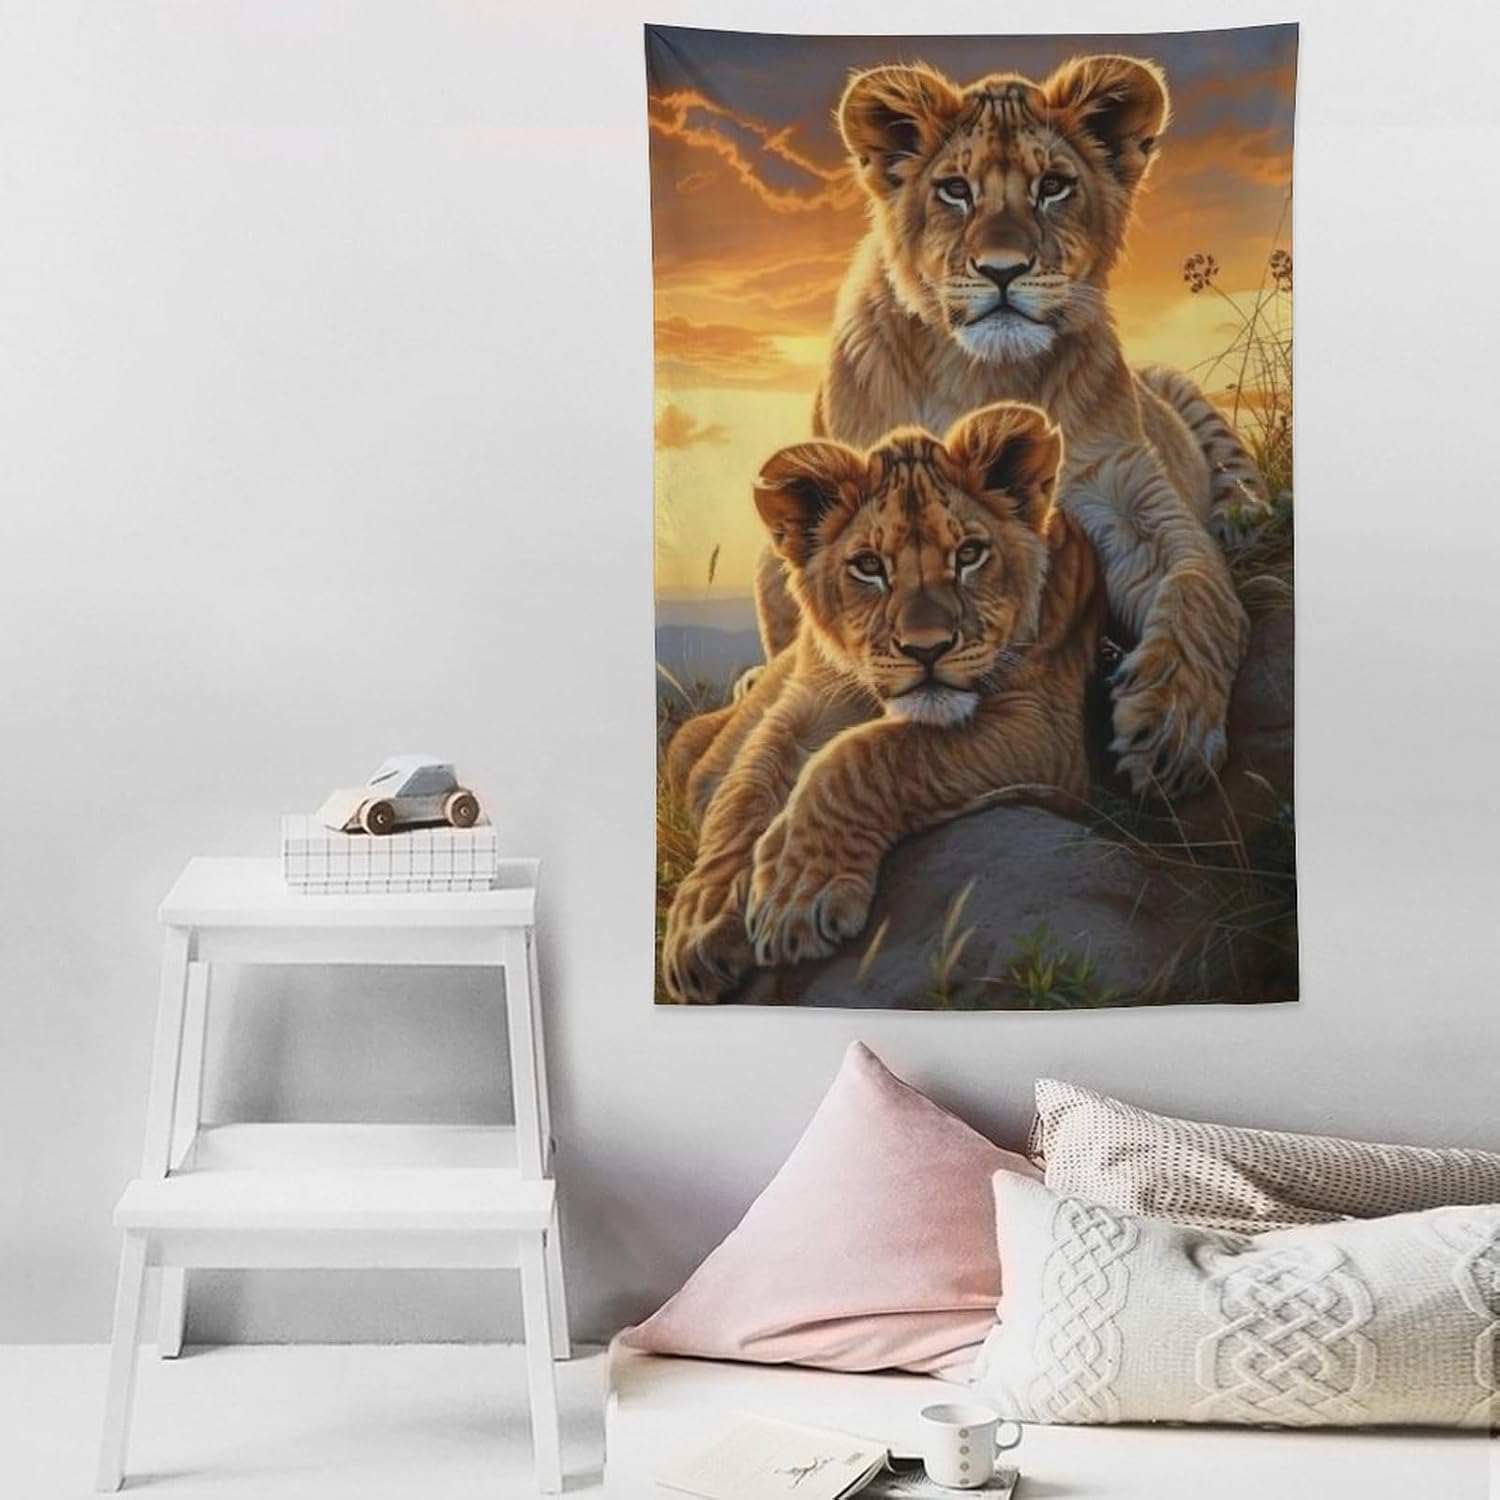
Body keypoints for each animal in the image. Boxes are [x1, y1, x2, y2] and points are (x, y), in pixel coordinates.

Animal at [660, 402, 1105, 1004]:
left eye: (969, 554)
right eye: (869, 566)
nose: (927, 648)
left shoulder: (1043, 728)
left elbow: (873, 752)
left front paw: (798, 894)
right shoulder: (803, 706)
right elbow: (745, 791)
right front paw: (701, 923)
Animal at [750, 54, 1271, 800]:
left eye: (1053, 187)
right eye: (954, 190)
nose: (1003, 271)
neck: (984, 374)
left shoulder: (1125, 491)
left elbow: (1202, 588)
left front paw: (1172, 726)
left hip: (1184, 394)